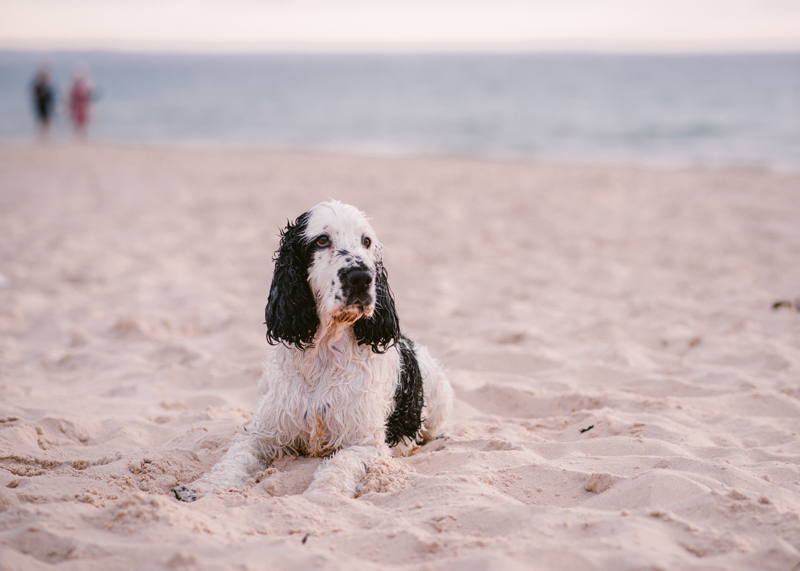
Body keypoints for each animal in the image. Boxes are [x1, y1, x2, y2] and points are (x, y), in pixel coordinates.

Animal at [173, 201, 454, 500]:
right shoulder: (263, 432)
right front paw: (199, 487)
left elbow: (339, 465)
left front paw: (323, 495)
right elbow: (234, 458)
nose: (361, 278)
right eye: (322, 240)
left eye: (366, 241)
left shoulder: (364, 442)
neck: (325, 353)